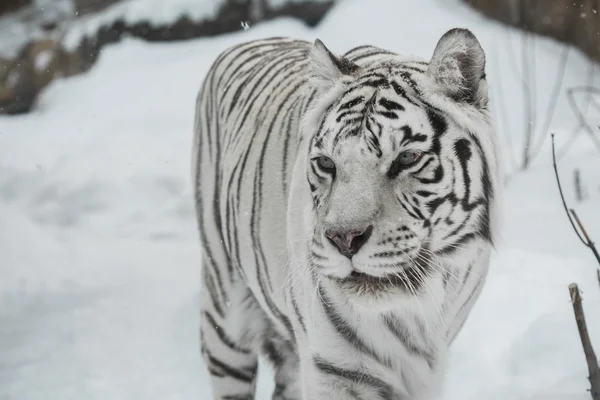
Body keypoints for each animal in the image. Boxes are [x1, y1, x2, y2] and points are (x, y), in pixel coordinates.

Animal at [192, 28, 502, 400]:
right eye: (326, 163)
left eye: (407, 158)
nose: (343, 238)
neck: (415, 307)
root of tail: (252, 39)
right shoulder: (335, 370)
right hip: (225, 316)